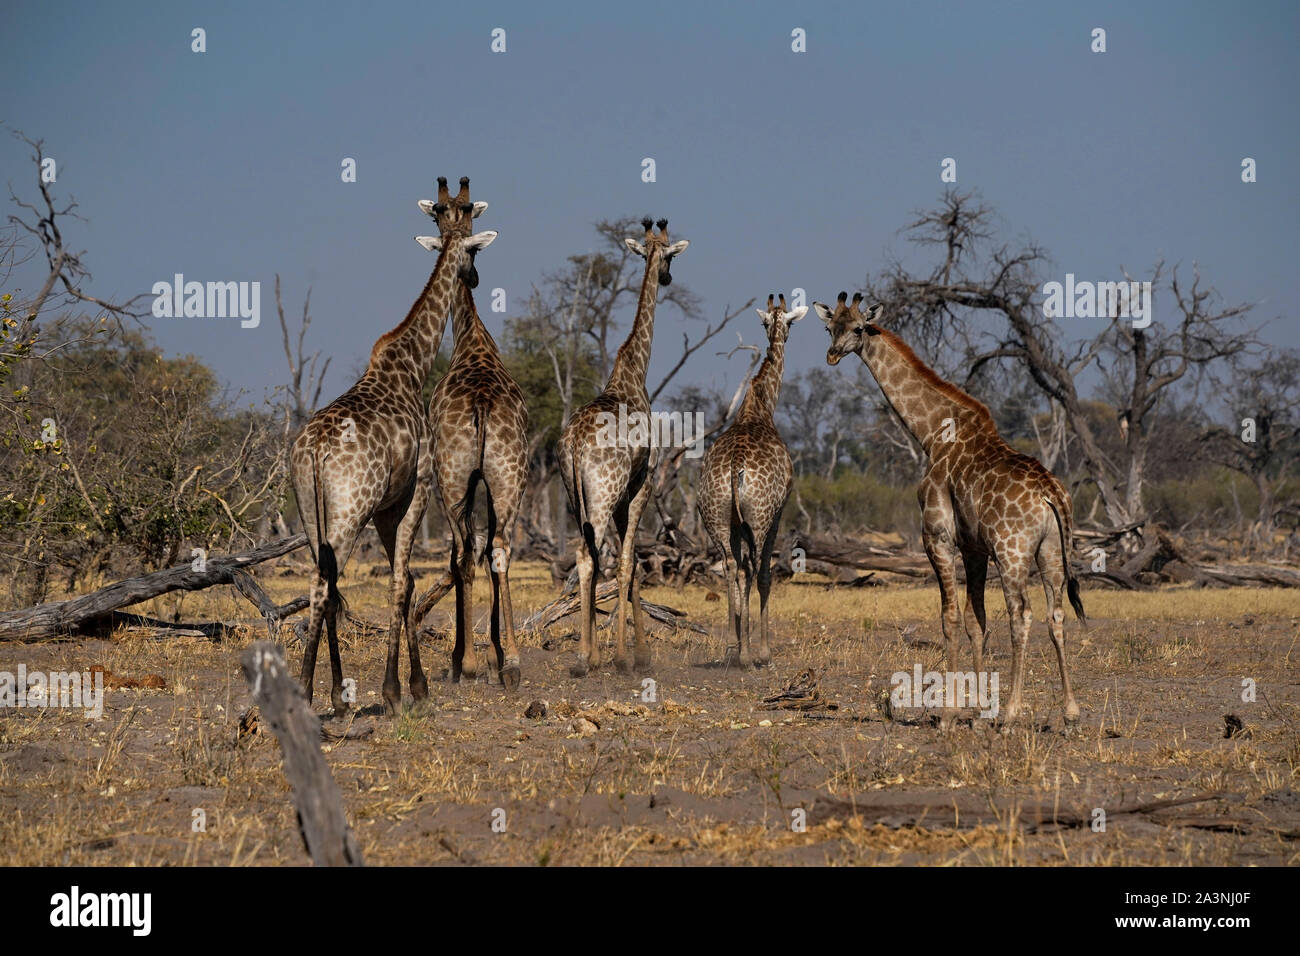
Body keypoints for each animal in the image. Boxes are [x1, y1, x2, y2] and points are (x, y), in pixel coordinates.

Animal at [290, 176, 495, 717]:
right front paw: (404, 688)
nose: (474, 277)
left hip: (310, 512)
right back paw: (305, 693)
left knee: (326, 581)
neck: (412, 363)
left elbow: (404, 580)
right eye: (472, 248)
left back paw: (334, 697)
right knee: (323, 585)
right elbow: (401, 580)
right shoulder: (416, 489)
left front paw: (393, 686)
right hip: (348, 509)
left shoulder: (385, 507)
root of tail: (313, 453)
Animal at [558, 218, 690, 677]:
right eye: (670, 256)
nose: (668, 277)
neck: (633, 374)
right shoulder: (641, 485)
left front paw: (617, 651)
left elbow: (622, 565)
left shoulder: (620, 496)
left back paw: (589, 654)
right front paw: (633, 656)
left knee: (587, 556)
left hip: (576, 495)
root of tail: (574, 445)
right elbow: (631, 562)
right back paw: (585, 658)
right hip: (602, 494)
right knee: (592, 556)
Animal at [698, 293, 806, 667]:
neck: (761, 408)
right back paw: (751, 653)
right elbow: (765, 575)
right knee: (755, 569)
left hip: (716, 516)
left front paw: (736, 643)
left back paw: (733, 647)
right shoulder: (779, 511)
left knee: (731, 566)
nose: (785, 335)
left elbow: (737, 568)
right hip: (759, 517)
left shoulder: (734, 521)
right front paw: (763, 651)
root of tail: (735, 467)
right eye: (791, 322)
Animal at [814, 292, 1084, 724]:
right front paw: (978, 706)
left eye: (857, 328)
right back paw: (1071, 712)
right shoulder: (974, 548)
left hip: (1012, 552)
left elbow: (950, 618)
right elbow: (977, 620)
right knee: (1055, 613)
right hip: (1051, 552)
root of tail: (1050, 494)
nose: (833, 354)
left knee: (1022, 614)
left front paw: (951, 712)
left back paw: (1012, 711)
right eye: (829, 327)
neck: (932, 434)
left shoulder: (937, 537)